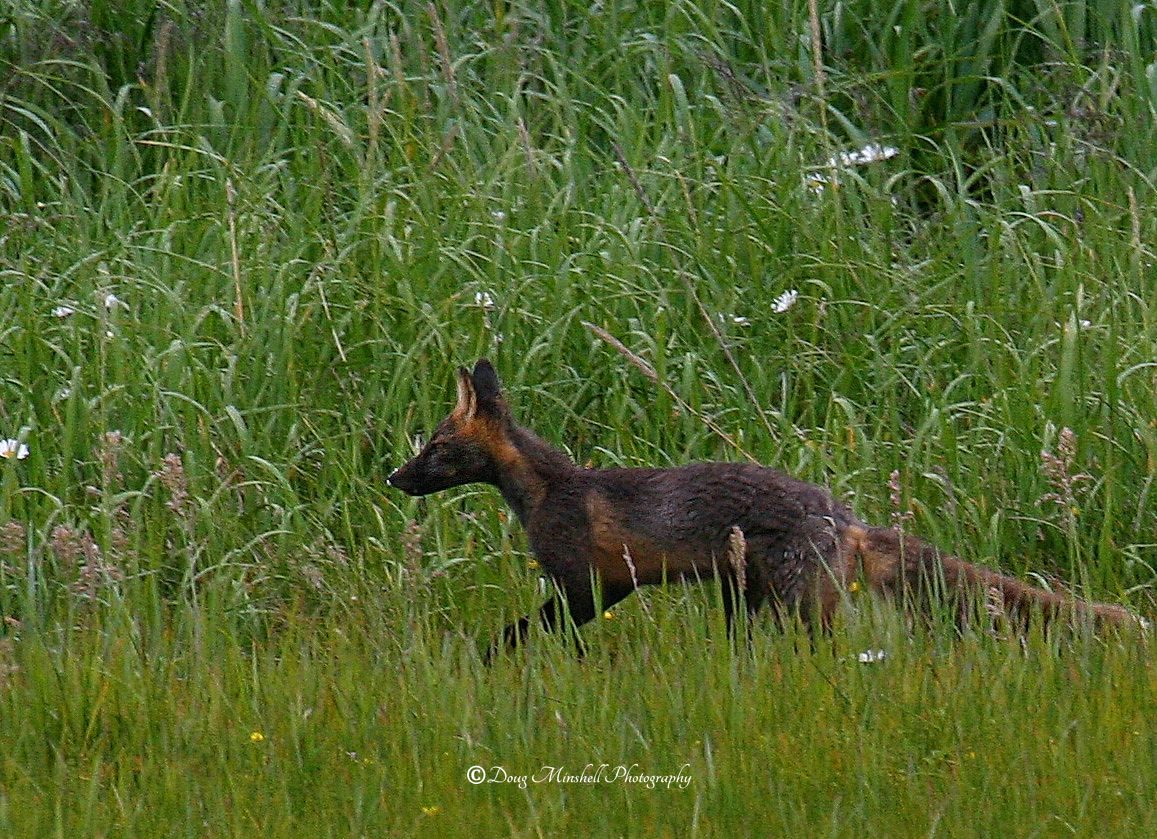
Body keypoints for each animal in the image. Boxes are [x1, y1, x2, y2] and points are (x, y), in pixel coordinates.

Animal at [388, 359, 1142, 657]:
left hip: (789, 603)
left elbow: (526, 634)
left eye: (435, 446)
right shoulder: (605, 589)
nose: (393, 477)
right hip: (748, 598)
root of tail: (844, 513)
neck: (550, 491)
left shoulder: (594, 585)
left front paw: (483, 660)